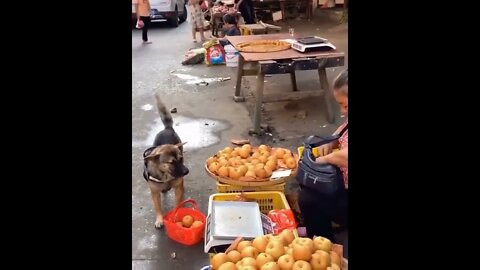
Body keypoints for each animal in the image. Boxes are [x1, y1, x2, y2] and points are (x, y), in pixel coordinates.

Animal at [142, 94, 188, 229]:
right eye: (171, 162)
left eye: (181, 159)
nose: (186, 171)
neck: (165, 175)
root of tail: (168, 128)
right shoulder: (154, 193)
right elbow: (158, 207)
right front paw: (159, 219)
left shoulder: (178, 188)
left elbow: (178, 203)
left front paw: (177, 212)